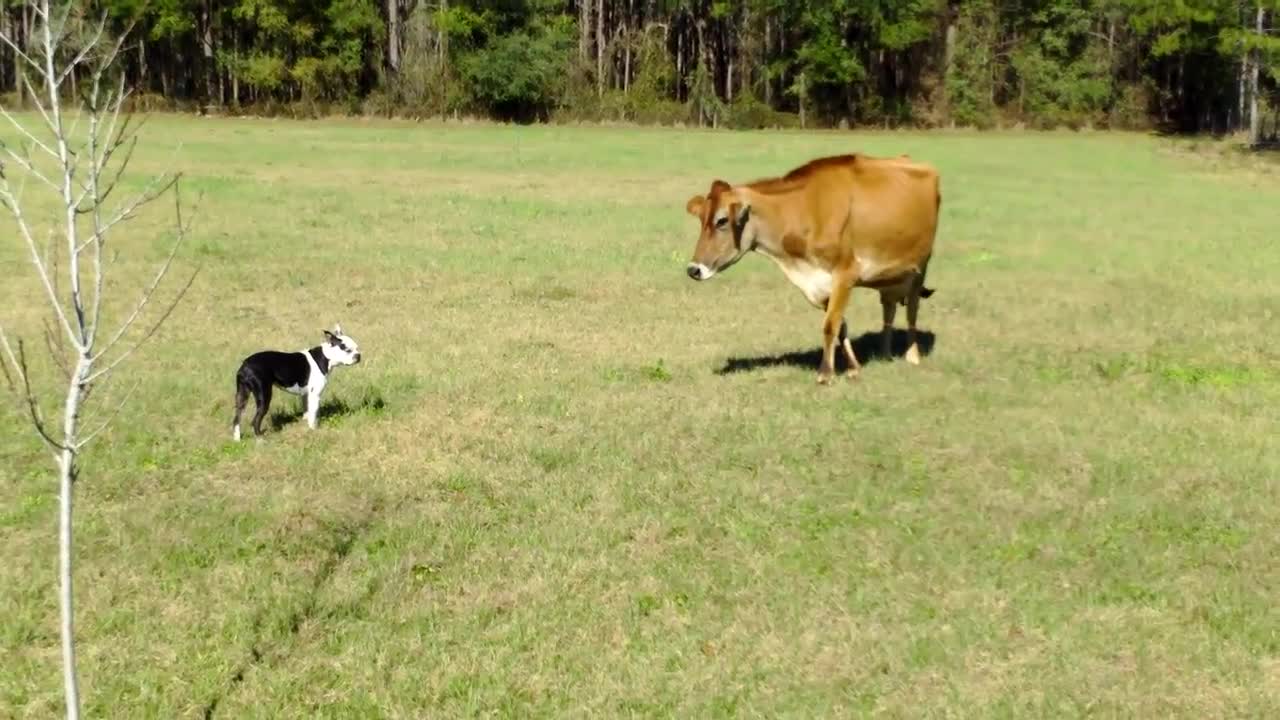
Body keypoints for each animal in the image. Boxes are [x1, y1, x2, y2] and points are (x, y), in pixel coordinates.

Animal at [232, 324, 363, 438]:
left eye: (357, 348)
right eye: (347, 350)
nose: (358, 355)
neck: (325, 357)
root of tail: (245, 366)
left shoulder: (306, 395)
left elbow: (307, 411)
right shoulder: (315, 395)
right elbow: (313, 413)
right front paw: (313, 430)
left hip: (242, 395)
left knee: (237, 417)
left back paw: (237, 439)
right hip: (264, 395)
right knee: (255, 420)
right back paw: (260, 438)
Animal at [691, 154, 942, 384]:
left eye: (722, 221)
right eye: (701, 219)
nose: (693, 269)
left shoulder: (845, 274)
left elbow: (830, 325)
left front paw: (825, 373)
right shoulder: (819, 282)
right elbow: (840, 325)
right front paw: (853, 368)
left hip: (920, 266)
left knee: (912, 311)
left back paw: (912, 355)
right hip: (890, 278)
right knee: (889, 309)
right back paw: (884, 354)